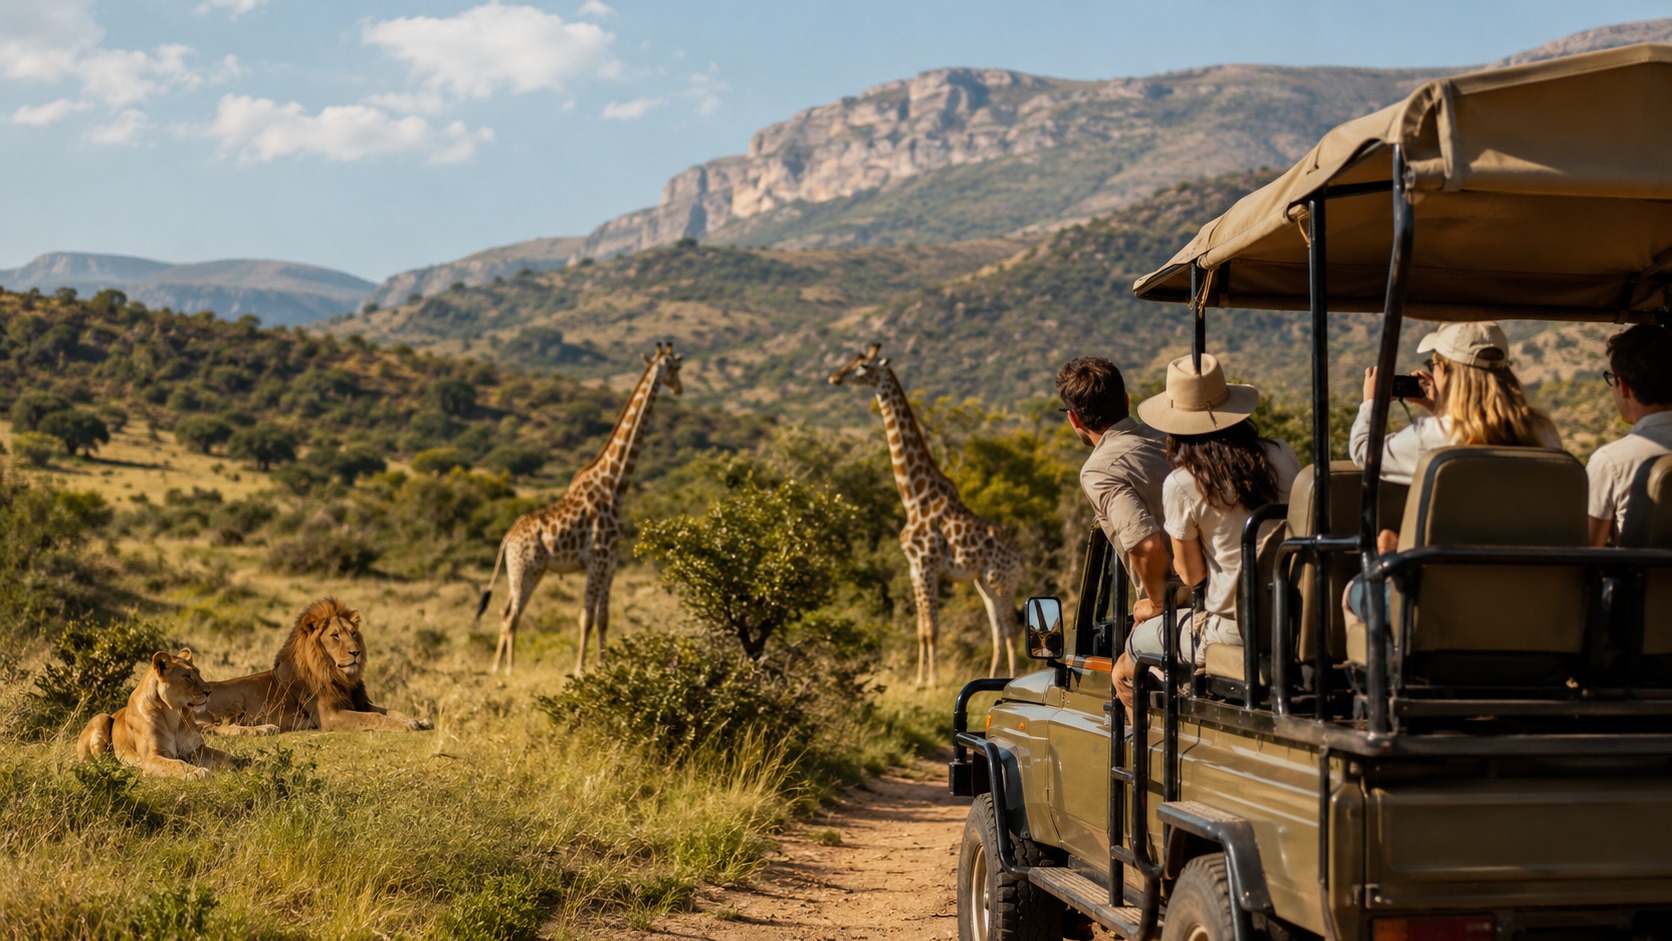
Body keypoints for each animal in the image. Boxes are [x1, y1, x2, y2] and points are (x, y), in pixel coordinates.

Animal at [77, 649, 236, 779]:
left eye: (199, 673)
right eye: (187, 676)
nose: (209, 692)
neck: (175, 715)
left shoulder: (197, 750)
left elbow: (226, 756)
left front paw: (240, 764)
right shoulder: (152, 757)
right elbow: (177, 764)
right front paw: (197, 772)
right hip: (101, 718)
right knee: (98, 761)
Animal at [196, 598, 432, 733]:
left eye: (353, 634)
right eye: (335, 636)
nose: (356, 652)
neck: (337, 675)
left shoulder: (358, 702)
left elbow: (390, 710)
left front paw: (419, 720)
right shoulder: (329, 716)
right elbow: (374, 717)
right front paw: (405, 725)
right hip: (234, 700)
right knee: (219, 728)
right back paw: (263, 729)